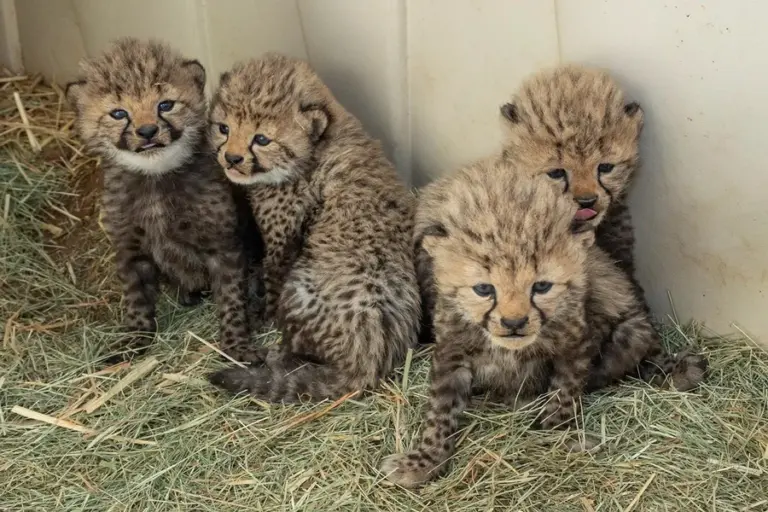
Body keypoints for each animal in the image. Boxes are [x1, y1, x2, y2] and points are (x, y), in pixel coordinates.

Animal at [66, 38, 263, 363]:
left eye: (165, 105)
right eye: (118, 113)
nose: (147, 131)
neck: (154, 178)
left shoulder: (223, 246)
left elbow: (232, 299)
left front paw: (237, 346)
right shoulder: (130, 249)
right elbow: (136, 298)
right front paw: (134, 340)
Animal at [205, 53, 420, 402]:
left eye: (261, 139)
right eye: (223, 128)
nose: (231, 159)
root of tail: (367, 362)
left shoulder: (282, 240)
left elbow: (273, 277)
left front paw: (264, 316)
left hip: (300, 289)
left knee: (294, 348)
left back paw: (273, 356)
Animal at [380, 159, 707, 488]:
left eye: (542, 286)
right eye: (484, 289)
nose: (514, 322)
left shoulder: (576, 343)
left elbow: (565, 392)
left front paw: (558, 432)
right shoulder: (451, 352)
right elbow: (441, 412)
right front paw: (425, 459)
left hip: (633, 332)